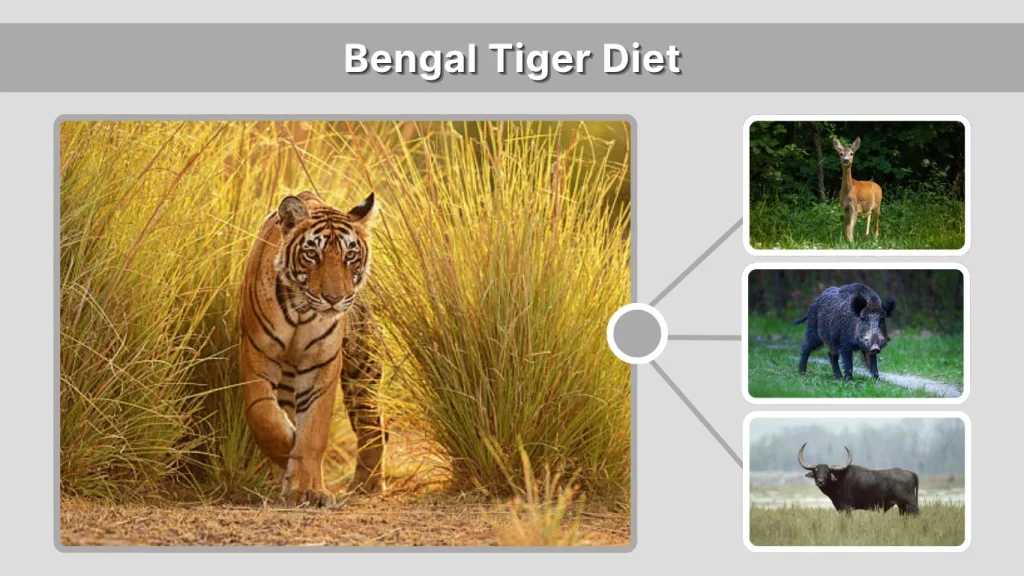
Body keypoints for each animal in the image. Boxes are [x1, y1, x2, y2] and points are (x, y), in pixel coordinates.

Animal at [240, 190, 386, 507]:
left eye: (350, 256)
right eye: (312, 255)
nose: (334, 298)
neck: (302, 311)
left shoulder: (322, 361)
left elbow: (314, 430)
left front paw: (309, 490)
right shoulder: (258, 351)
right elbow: (264, 416)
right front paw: (288, 452)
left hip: (363, 368)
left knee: (373, 425)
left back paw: (366, 484)